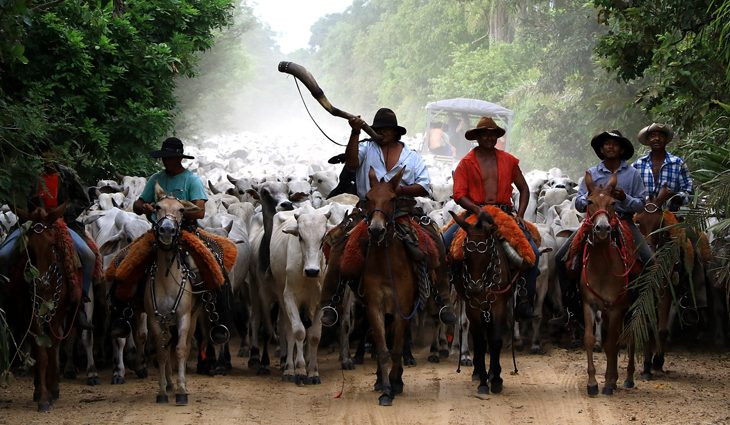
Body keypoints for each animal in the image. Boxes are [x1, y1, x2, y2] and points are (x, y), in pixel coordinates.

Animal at [4, 202, 79, 410]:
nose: (40, 284)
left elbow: (52, 349)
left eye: (52, 245)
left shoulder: (58, 312)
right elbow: (42, 353)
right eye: (28, 248)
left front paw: (53, 390)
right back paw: (38, 389)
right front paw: (44, 397)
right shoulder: (32, 312)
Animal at [144, 182, 200, 404]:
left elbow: (181, 349)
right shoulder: (154, 318)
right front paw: (162, 392)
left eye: (181, 210)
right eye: (157, 207)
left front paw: (182, 390)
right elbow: (161, 353)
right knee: (166, 348)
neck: (167, 278)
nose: (167, 229)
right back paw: (168, 383)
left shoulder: (184, 315)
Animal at [268, 205, 328, 384]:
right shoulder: (289, 297)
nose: (312, 271)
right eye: (300, 237)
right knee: (288, 330)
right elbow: (298, 332)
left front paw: (313, 371)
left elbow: (314, 336)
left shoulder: (320, 302)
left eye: (323, 238)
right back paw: (289, 367)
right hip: (282, 296)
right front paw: (300, 370)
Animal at [446, 209, 510, 394]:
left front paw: (496, 378)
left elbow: (495, 339)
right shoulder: (473, 306)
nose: (475, 287)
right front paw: (482, 380)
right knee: (463, 323)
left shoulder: (499, 305)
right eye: (466, 254)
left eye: (488, 253)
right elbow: (479, 341)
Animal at [576, 171, 636, 394]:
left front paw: (609, 383)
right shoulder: (589, 304)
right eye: (589, 202)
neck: (602, 266)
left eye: (613, 203)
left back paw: (628, 377)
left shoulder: (617, 308)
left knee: (631, 337)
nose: (602, 227)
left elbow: (612, 344)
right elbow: (589, 339)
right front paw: (593, 383)